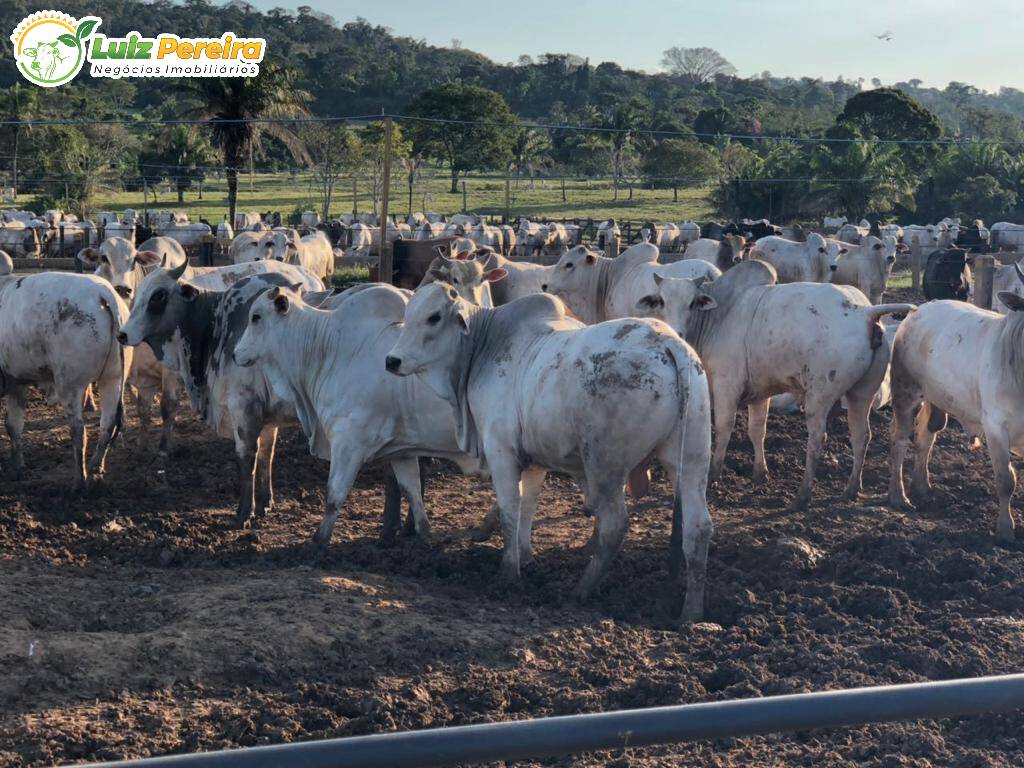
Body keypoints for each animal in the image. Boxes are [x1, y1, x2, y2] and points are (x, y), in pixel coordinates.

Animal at [0, 272, 129, 487]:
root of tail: (101, 291)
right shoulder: (16, 383)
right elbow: (13, 425)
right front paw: (17, 467)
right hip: (113, 380)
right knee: (107, 424)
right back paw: (96, 468)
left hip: (70, 385)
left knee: (78, 431)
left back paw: (79, 481)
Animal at [385, 286, 712, 622]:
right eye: (409, 313)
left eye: (434, 317)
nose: (392, 360)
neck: (485, 344)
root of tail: (666, 340)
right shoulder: (533, 461)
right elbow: (528, 506)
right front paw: (526, 557)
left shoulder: (501, 451)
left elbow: (510, 510)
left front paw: (508, 574)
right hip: (692, 458)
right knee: (698, 528)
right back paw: (690, 613)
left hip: (605, 466)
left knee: (614, 524)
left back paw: (581, 589)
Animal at [634, 262, 917, 507]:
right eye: (661, 301)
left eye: (693, 302)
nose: (677, 333)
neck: (720, 316)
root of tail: (864, 311)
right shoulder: (761, 394)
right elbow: (757, 431)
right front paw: (761, 473)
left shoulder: (727, 387)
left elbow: (724, 429)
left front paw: (714, 474)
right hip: (861, 394)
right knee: (861, 436)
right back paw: (851, 489)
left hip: (820, 395)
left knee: (818, 437)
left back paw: (803, 495)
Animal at [888, 276, 1024, 540]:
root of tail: (920, 309)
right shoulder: (995, 425)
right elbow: (1006, 480)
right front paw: (1005, 529)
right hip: (905, 392)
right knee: (899, 441)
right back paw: (898, 496)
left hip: (935, 397)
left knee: (925, 437)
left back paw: (921, 485)